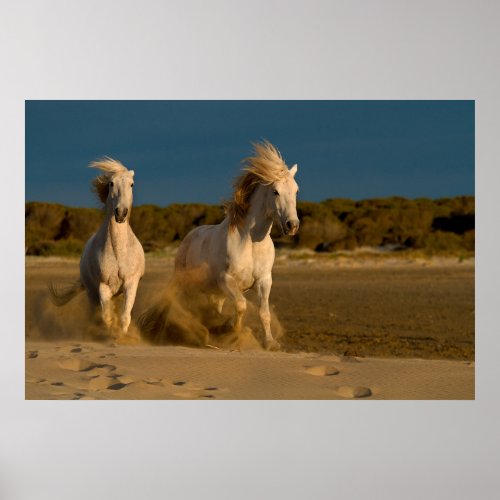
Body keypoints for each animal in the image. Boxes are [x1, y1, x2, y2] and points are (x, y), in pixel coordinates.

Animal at [48, 158, 145, 338]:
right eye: (111, 183)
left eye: (132, 184)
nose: (121, 213)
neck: (119, 252)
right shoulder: (103, 286)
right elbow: (106, 317)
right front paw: (110, 335)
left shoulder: (130, 284)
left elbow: (124, 316)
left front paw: (122, 337)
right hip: (91, 293)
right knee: (95, 314)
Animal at [174, 141, 298, 350]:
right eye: (275, 191)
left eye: (296, 190)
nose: (292, 225)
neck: (251, 243)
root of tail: (189, 237)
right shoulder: (227, 280)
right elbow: (241, 305)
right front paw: (232, 332)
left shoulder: (264, 281)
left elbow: (264, 312)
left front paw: (270, 343)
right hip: (189, 286)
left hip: (215, 293)